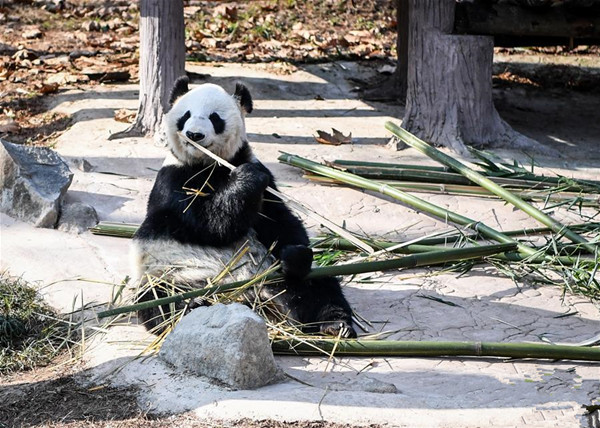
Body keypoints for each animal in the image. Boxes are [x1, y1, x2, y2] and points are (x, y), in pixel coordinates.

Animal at [131, 76, 356, 338]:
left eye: (215, 118)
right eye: (185, 115)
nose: (194, 134)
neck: (209, 164)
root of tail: (250, 297)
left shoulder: (258, 173)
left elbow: (280, 222)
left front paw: (293, 254)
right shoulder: (173, 180)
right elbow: (207, 224)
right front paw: (246, 179)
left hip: (274, 275)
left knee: (322, 286)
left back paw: (334, 324)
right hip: (170, 274)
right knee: (158, 300)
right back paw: (192, 305)